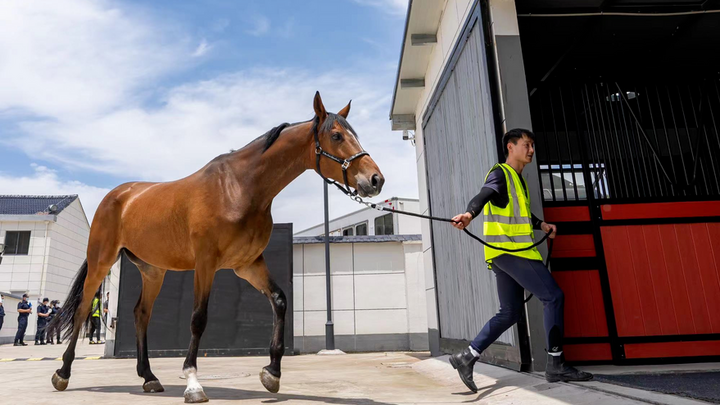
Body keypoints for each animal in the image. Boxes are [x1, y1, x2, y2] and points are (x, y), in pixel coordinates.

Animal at [47, 90, 386, 400]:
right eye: (337, 135)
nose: (375, 180)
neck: (239, 188)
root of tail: (117, 195)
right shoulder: (206, 263)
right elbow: (199, 318)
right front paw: (193, 383)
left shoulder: (247, 265)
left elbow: (279, 301)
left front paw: (271, 373)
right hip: (101, 261)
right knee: (82, 310)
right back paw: (62, 373)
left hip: (153, 270)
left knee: (141, 314)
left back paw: (149, 378)